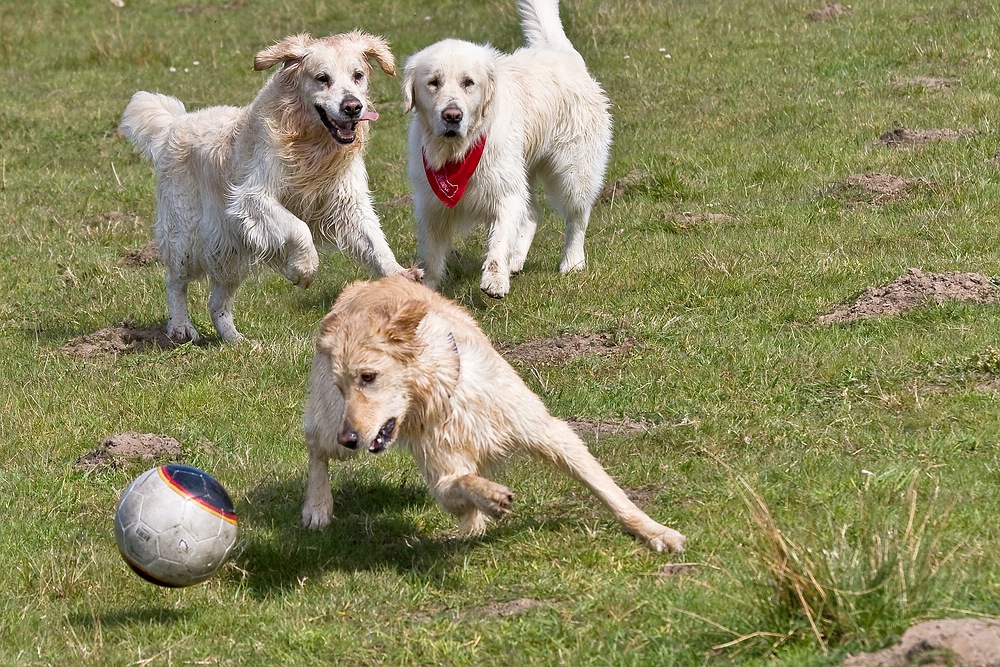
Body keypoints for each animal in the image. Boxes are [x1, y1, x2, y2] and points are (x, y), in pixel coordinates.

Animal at [122, 31, 418, 344]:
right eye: (322, 78)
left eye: (358, 75)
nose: (352, 106)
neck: (311, 143)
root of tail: (175, 124)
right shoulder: (252, 198)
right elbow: (299, 227)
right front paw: (303, 269)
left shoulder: (347, 203)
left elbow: (376, 243)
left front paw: (400, 273)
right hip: (188, 236)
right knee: (175, 280)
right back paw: (180, 326)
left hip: (232, 249)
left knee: (217, 302)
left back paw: (236, 340)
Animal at [300, 274, 684, 556]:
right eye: (342, 387)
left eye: (369, 377)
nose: (349, 438)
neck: (446, 394)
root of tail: (359, 286)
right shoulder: (442, 474)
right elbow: (461, 482)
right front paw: (489, 497)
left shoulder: (551, 433)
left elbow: (609, 491)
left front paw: (654, 531)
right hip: (331, 425)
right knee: (315, 446)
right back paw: (317, 507)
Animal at [402, 0, 612, 298]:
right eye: (434, 82)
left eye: (468, 82)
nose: (452, 115)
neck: (459, 151)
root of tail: (560, 50)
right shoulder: (431, 206)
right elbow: (430, 257)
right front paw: (426, 290)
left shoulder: (505, 192)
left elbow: (499, 241)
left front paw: (495, 280)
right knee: (533, 213)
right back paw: (517, 259)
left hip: (574, 171)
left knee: (577, 217)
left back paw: (572, 262)